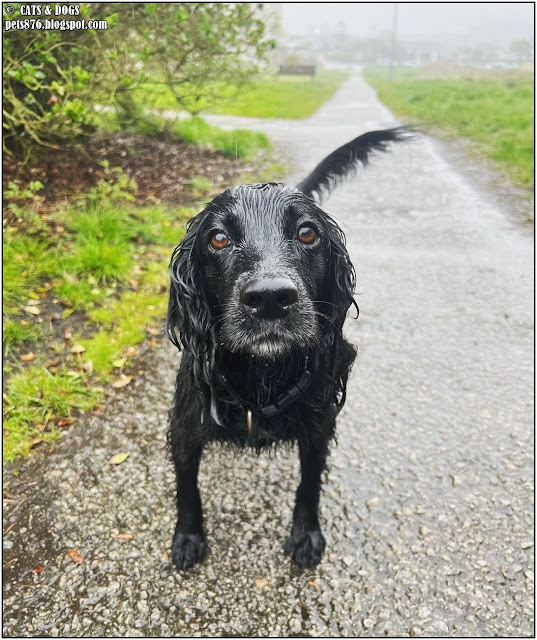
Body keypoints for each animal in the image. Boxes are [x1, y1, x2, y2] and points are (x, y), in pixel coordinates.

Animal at [165, 126, 408, 568]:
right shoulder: (185, 426)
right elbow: (187, 488)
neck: (262, 375)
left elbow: (309, 484)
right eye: (218, 238)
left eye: (307, 233)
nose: (270, 298)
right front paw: (188, 537)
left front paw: (306, 534)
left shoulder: (318, 426)